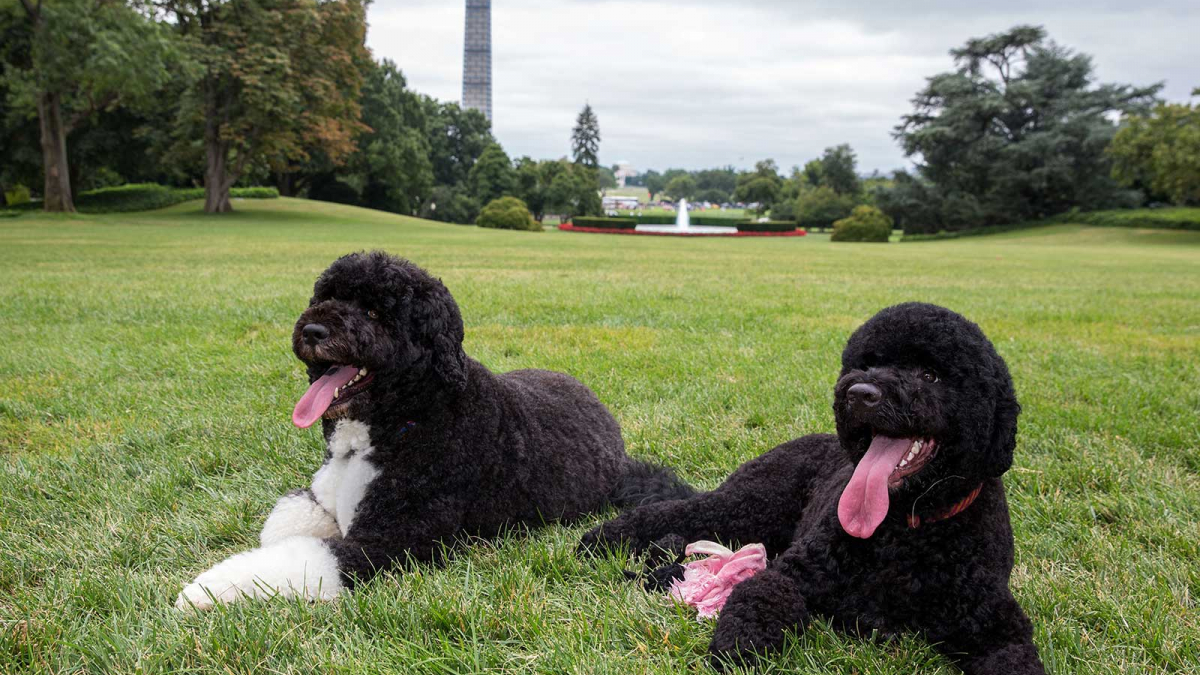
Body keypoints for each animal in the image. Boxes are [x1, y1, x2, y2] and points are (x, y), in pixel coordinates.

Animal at [174, 249, 691, 607]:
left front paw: (206, 589)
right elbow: (287, 524)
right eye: (327, 296)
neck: (403, 418)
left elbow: (306, 555)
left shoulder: (393, 541)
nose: (313, 331)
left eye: (376, 312)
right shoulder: (321, 495)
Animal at [578, 302, 1041, 667]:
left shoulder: (996, 625)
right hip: (749, 504)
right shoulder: (796, 572)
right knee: (674, 511)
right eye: (867, 363)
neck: (907, 529)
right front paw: (741, 648)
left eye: (931, 374)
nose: (860, 393)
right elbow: (762, 595)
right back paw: (601, 539)